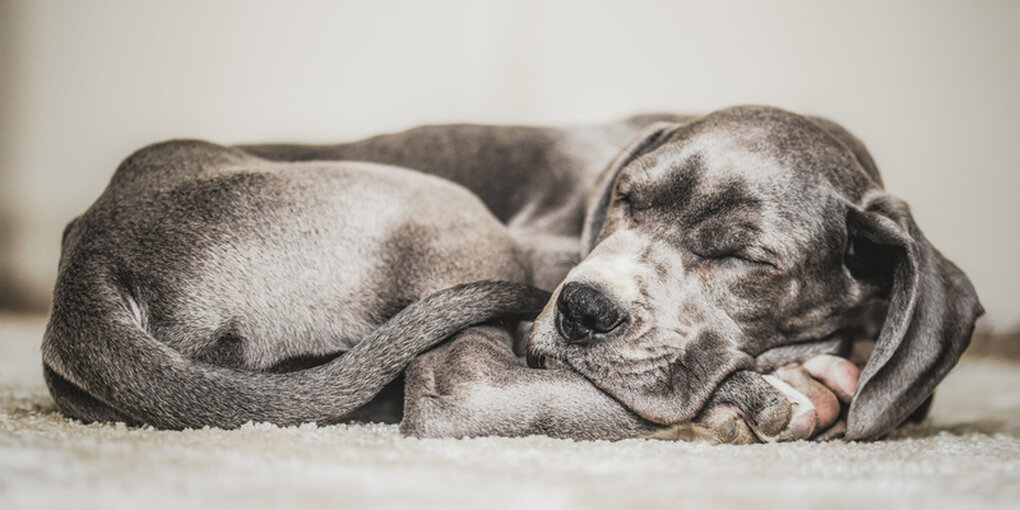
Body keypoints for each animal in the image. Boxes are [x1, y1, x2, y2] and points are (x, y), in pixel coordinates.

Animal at [43, 105, 983, 440]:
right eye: (624, 201)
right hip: (457, 222)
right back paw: (765, 400)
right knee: (460, 395)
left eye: (744, 257)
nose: (584, 310)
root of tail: (91, 254)